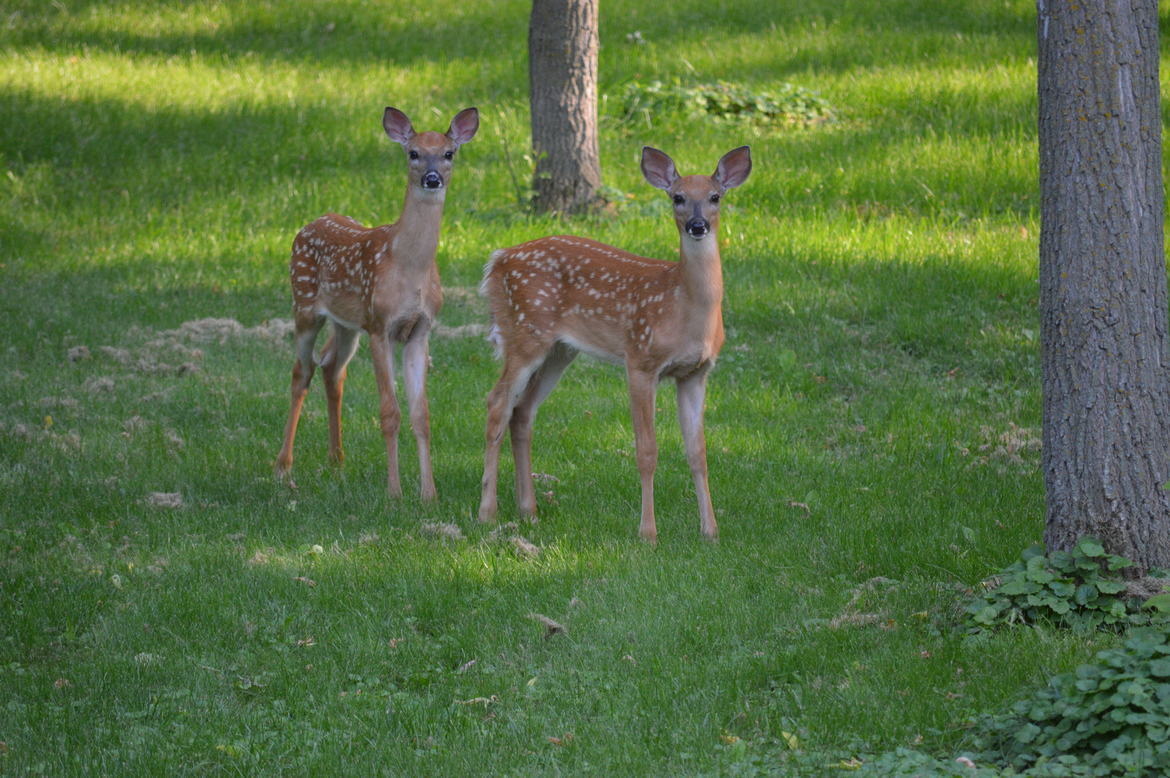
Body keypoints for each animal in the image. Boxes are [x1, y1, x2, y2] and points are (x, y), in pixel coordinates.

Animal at [275, 106, 479, 500]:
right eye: (413, 153)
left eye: (449, 153)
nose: (432, 179)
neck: (408, 268)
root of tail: (311, 223)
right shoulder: (379, 324)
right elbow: (390, 412)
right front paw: (395, 492)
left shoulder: (420, 329)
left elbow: (421, 415)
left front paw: (429, 494)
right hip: (304, 304)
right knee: (301, 371)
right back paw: (283, 466)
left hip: (345, 323)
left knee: (331, 367)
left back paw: (337, 458)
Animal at [477, 145, 752, 543]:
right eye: (677, 197)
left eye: (716, 197)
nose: (697, 225)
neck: (683, 305)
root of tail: (497, 260)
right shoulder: (640, 359)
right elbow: (647, 450)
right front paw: (648, 533)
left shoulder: (696, 373)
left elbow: (698, 452)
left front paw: (710, 531)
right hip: (524, 332)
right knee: (497, 404)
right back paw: (487, 512)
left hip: (559, 350)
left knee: (523, 411)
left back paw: (529, 511)